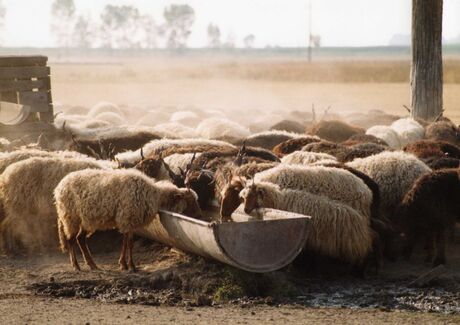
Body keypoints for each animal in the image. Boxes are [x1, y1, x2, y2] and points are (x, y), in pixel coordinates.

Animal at [54, 168, 201, 270]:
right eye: (190, 202)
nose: (200, 216)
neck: (154, 196)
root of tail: (59, 187)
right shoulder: (128, 218)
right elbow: (129, 243)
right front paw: (130, 265)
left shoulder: (128, 222)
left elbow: (125, 243)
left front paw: (123, 264)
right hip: (70, 216)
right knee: (71, 240)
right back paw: (76, 266)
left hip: (85, 220)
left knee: (80, 239)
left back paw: (92, 265)